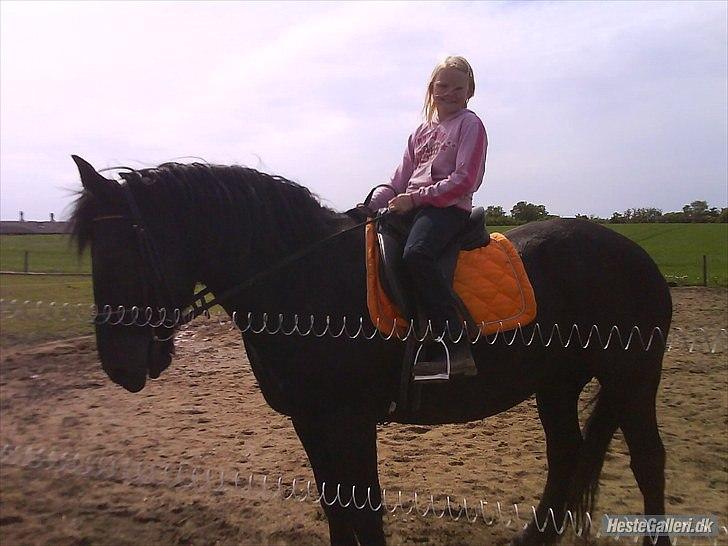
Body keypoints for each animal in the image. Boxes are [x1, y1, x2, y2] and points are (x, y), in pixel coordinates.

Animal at [70, 155, 673, 546]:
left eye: (125, 249)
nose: (119, 364)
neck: (304, 278)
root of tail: (634, 253)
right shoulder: (312, 421)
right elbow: (340, 510)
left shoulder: (349, 420)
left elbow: (366, 509)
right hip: (556, 382)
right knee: (566, 455)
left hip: (632, 377)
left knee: (648, 462)